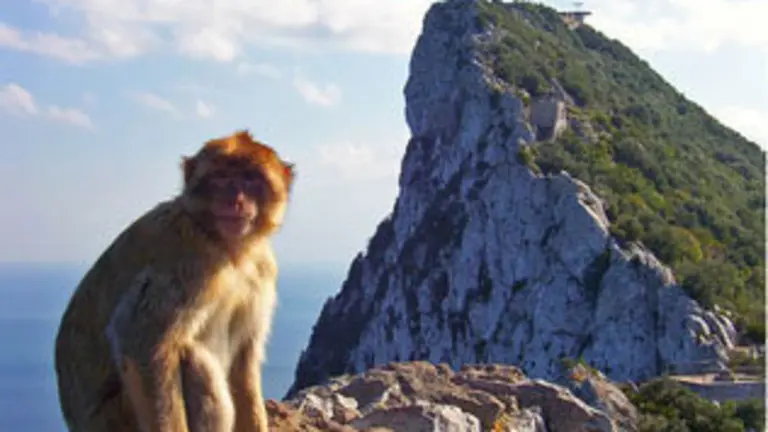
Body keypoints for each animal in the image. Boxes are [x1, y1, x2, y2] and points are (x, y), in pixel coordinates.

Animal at [54, 130, 295, 432]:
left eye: (250, 178)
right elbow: (142, 343)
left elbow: (244, 357)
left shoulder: (263, 270)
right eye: (221, 177)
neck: (229, 250)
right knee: (192, 359)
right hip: (117, 418)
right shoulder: (185, 260)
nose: (235, 200)